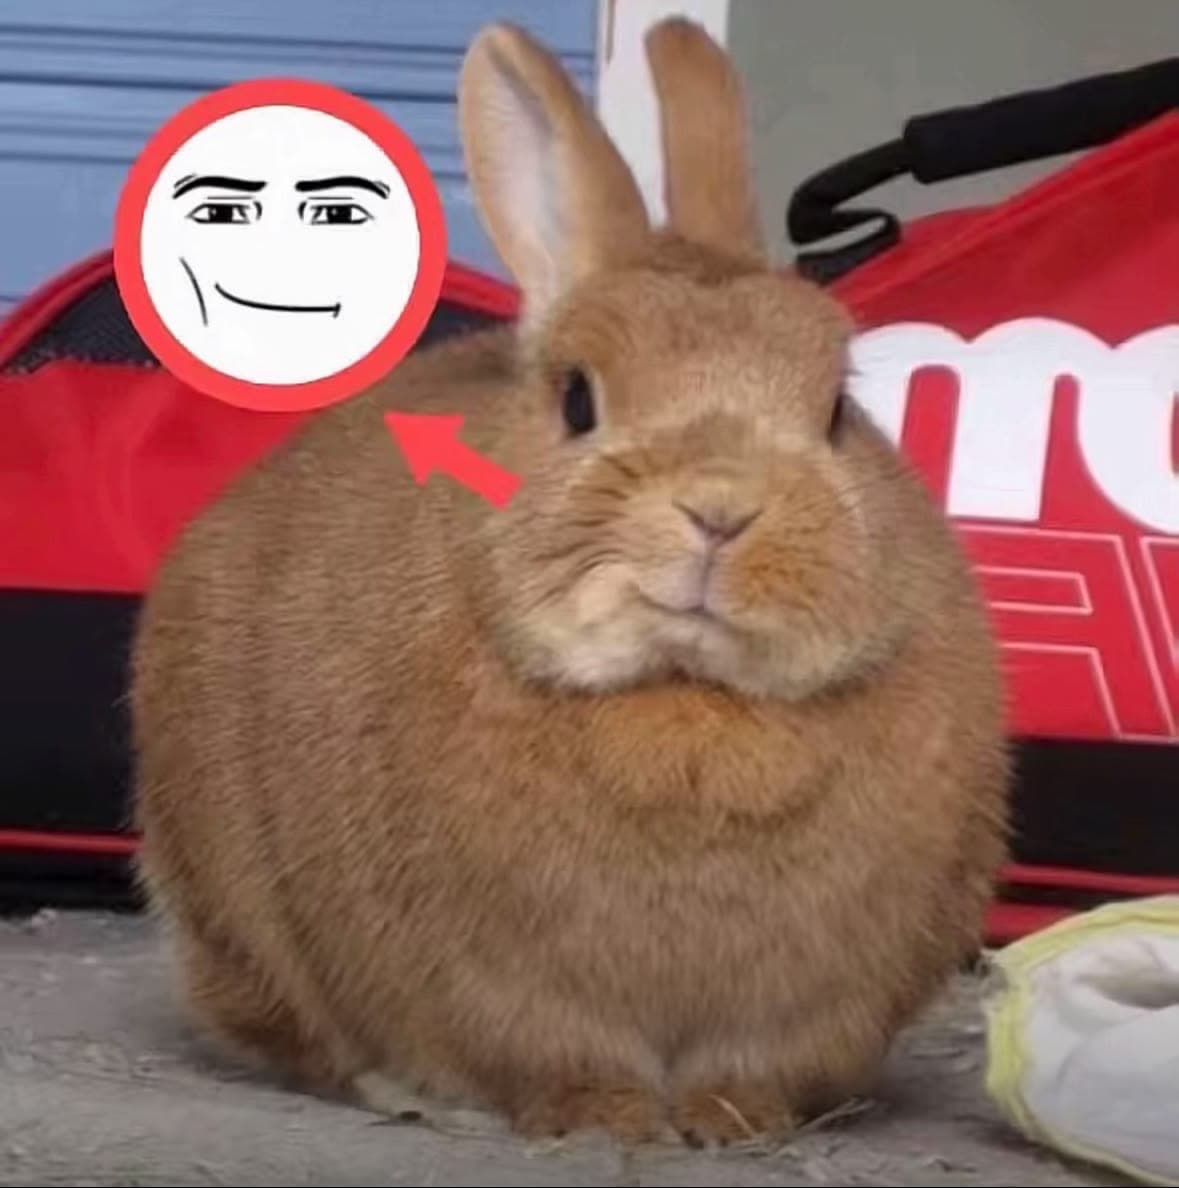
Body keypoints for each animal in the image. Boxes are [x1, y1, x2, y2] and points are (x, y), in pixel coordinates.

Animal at [130, 16, 1010, 1147]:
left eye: (835, 412)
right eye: (578, 400)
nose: (719, 507)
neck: (684, 693)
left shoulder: (800, 1013)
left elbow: (747, 1073)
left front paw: (733, 1125)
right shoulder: (505, 994)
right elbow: (563, 1064)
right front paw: (609, 1125)